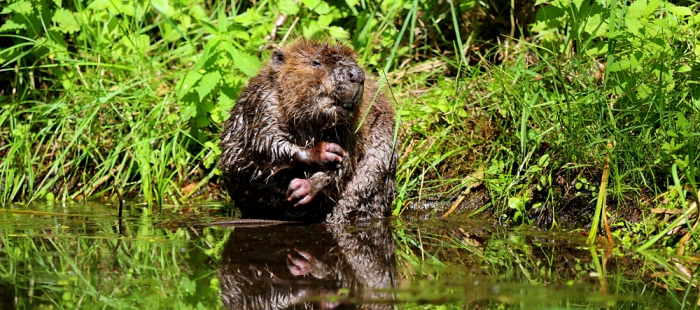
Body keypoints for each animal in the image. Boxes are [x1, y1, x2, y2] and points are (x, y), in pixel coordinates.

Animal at [219, 40, 396, 224]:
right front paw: (325, 151)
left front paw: (303, 188)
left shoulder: (351, 128)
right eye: (316, 63)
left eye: (354, 63)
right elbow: (264, 141)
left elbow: (345, 164)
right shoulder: (263, 101)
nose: (356, 74)